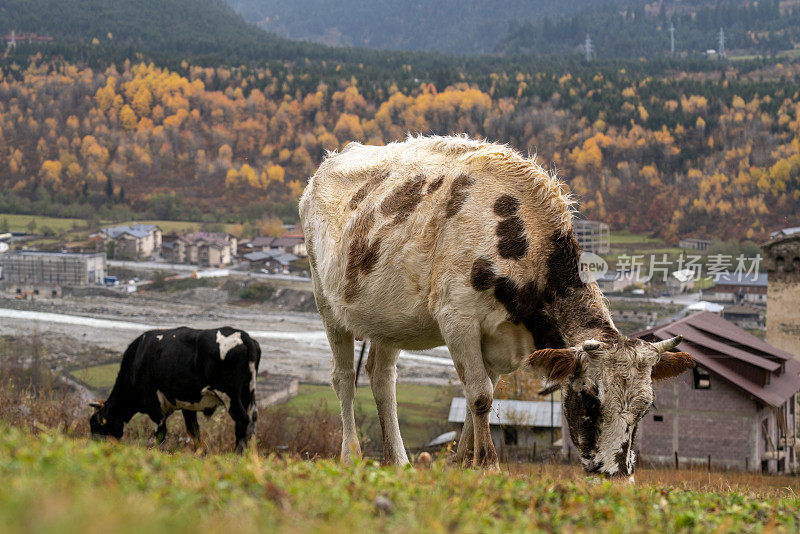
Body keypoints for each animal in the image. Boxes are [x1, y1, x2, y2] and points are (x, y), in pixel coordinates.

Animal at [90, 324, 260, 454]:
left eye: (94, 425)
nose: (94, 445)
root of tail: (242, 335)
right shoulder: (188, 405)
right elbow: (193, 431)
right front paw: (200, 453)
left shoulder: (155, 406)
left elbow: (160, 434)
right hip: (248, 393)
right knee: (252, 422)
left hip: (229, 394)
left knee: (242, 420)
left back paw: (237, 453)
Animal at [300, 135, 692, 478]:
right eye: (592, 400)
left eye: (644, 408)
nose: (616, 473)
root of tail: (334, 158)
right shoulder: (457, 318)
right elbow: (479, 396)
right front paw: (488, 464)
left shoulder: (502, 340)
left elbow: (479, 394)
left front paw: (461, 464)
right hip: (326, 302)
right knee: (343, 378)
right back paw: (351, 455)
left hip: (389, 318)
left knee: (382, 377)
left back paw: (398, 461)